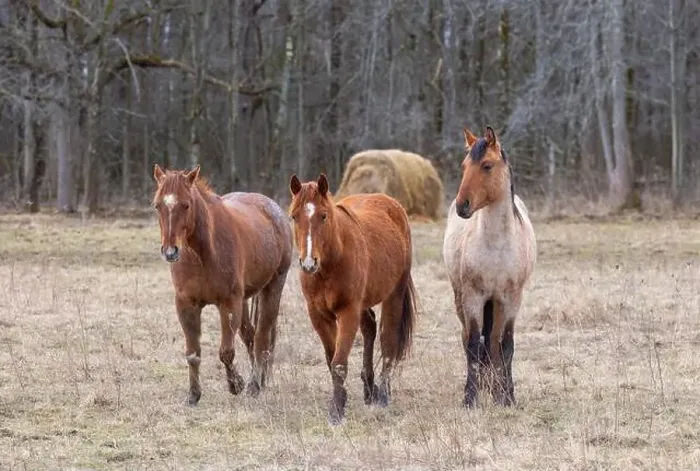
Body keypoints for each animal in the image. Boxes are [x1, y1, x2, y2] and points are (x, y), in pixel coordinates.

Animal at [152, 164, 293, 405]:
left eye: (186, 204)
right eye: (157, 205)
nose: (170, 252)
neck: (203, 254)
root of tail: (274, 210)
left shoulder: (228, 304)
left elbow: (226, 352)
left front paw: (237, 384)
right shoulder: (186, 305)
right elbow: (193, 353)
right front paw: (193, 395)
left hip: (273, 286)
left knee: (262, 336)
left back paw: (255, 385)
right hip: (245, 299)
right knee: (250, 336)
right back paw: (259, 379)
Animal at [288, 173, 417, 425]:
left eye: (323, 215)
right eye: (294, 216)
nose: (308, 263)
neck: (330, 264)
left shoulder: (348, 312)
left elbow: (339, 363)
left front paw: (336, 411)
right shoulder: (318, 315)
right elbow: (331, 359)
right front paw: (341, 400)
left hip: (394, 296)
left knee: (388, 341)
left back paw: (382, 393)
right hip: (363, 304)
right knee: (370, 328)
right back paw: (369, 387)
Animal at [442, 126, 537, 407]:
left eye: (486, 165)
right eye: (464, 166)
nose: (462, 206)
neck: (497, 245)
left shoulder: (511, 299)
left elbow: (505, 345)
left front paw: (507, 397)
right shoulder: (473, 297)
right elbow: (474, 344)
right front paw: (470, 398)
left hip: (496, 303)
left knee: (494, 342)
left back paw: (495, 390)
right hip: (462, 298)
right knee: (469, 340)